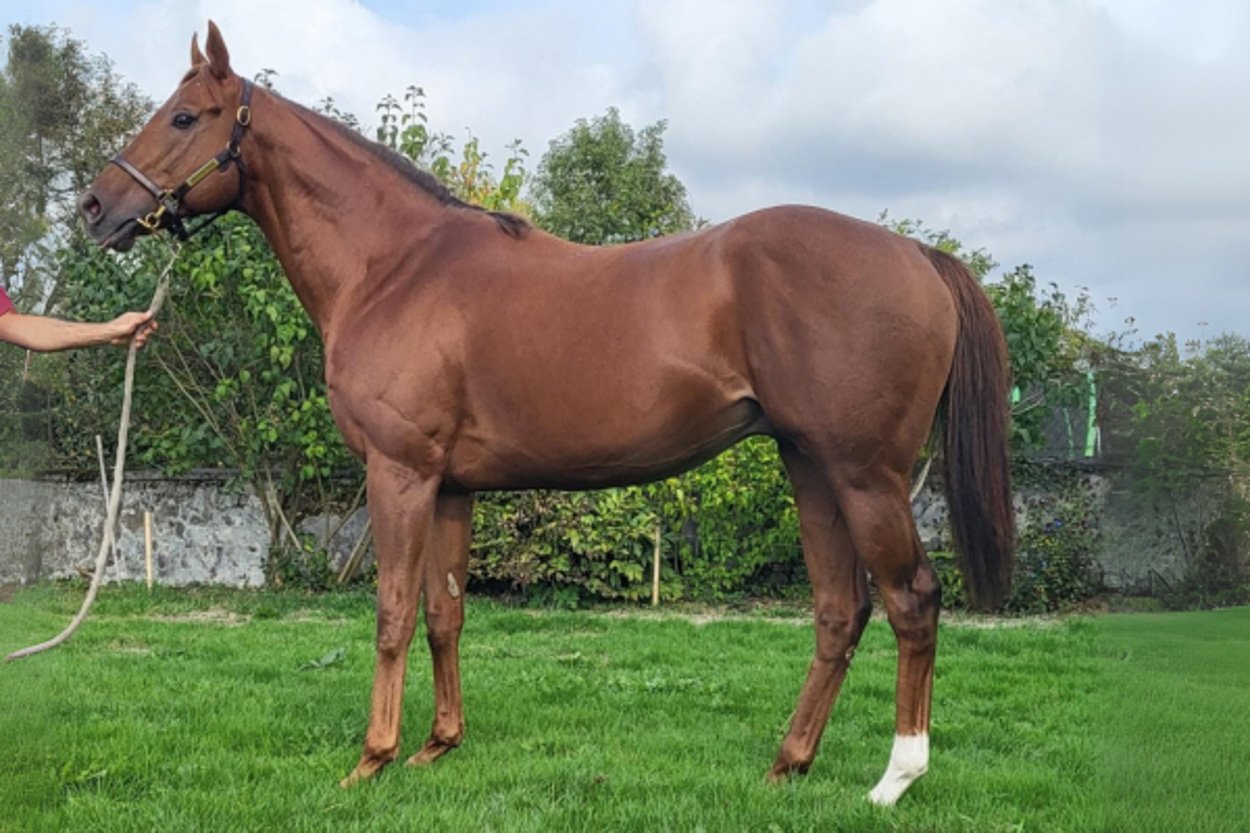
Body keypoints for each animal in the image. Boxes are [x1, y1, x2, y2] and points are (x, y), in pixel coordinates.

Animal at [79, 22, 1013, 806]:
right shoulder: (452, 487)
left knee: (912, 599)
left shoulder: (401, 473)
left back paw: (894, 779)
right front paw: (437, 746)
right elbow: (445, 611)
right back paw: (789, 763)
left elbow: (390, 611)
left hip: (865, 475)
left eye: (185, 116)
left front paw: (372, 758)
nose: (96, 209)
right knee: (839, 609)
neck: (395, 266)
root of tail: (917, 254)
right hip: (809, 465)